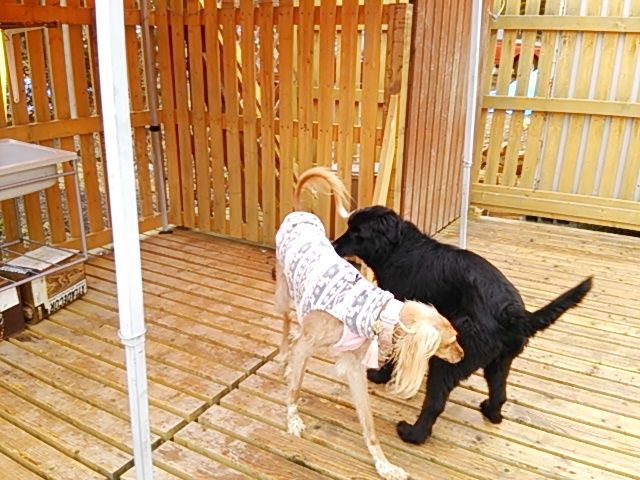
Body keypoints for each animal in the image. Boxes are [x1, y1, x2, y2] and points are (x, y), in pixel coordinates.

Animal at [275, 168, 464, 480]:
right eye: (450, 342)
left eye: (457, 337)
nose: (462, 355)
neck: (374, 312)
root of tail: (299, 213)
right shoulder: (309, 345)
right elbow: (295, 389)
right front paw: (293, 420)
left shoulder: (354, 368)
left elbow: (368, 423)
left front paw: (384, 465)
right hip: (284, 294)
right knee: (287, 326)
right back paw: (285, 358)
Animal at [333, 205, 593, 444]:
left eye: (357, 232)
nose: (334, 245)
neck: (398, 247)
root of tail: (513, 314)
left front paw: (381, 375)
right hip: (500, 362)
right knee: (500, 394)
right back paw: (491, 412)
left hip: (450, 361)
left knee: (435, 403)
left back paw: (413, 434)